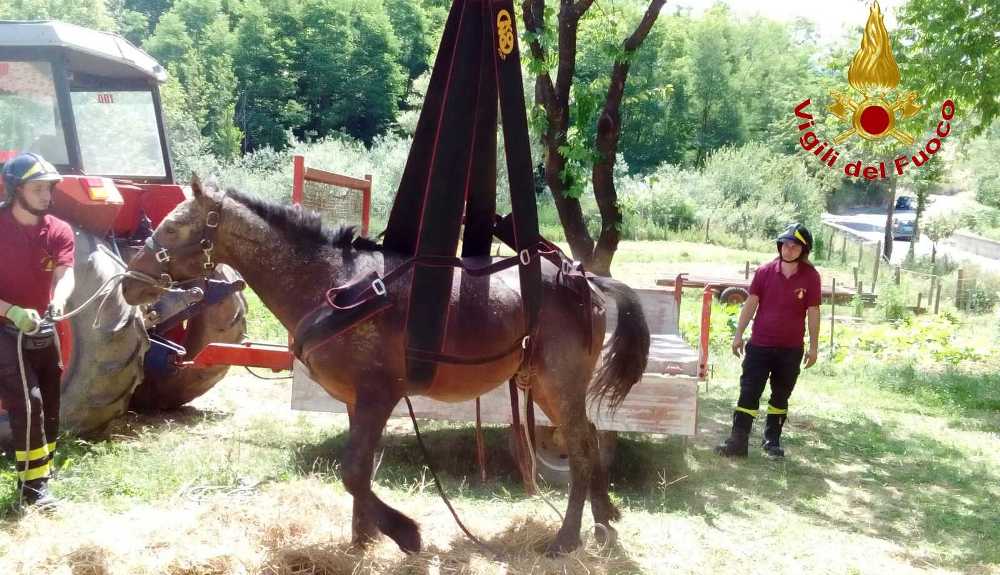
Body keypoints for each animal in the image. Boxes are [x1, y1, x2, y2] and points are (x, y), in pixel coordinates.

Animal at [121, 178, 650, 554]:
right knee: (588, 442)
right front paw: (363, 537)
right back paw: (605, 520)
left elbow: (354, 471)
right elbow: (362, 470)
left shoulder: (379, 394)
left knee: (580, 450)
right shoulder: (357, 401)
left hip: (559, 384)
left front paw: (403, 533)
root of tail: (584, 278)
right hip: (544, 386)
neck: (337, 285)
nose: (128, 283)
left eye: (174, 228)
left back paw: (567, 538)